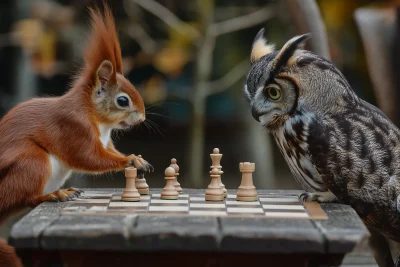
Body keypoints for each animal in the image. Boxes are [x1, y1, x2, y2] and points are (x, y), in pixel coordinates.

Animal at [0, 3, 152, 266]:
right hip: (31, 162)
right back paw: (55, 195)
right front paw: (130, 160)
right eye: (123, 100)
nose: (142, 118)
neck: (99, 121)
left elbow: (107, 152)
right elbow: (88, 157)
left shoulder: (106, 141)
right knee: (26, 198)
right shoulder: (72, 127)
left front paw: (136, 157)